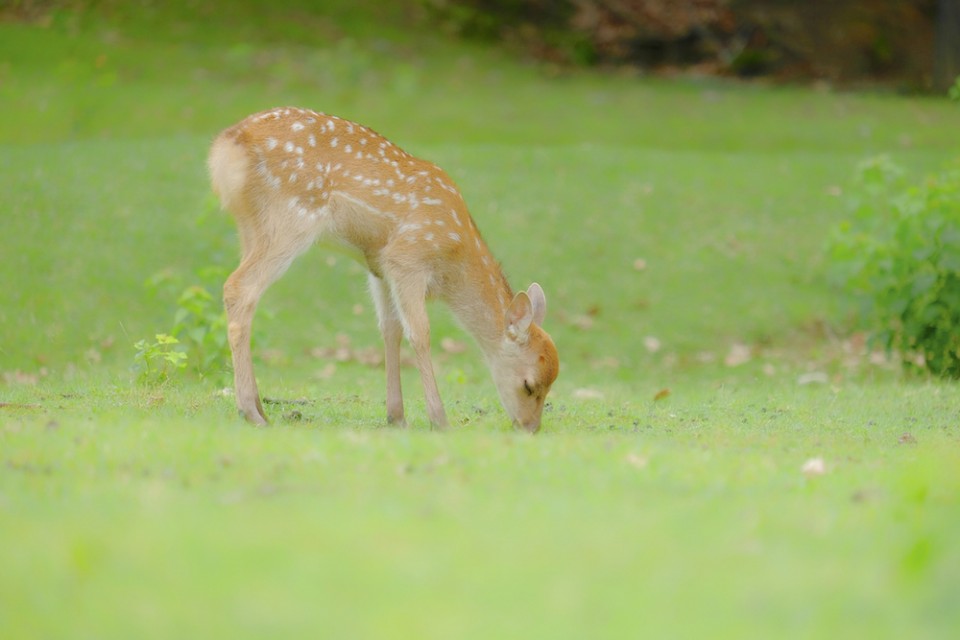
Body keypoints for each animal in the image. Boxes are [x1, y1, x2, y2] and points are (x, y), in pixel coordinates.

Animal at [206, 107, 560, 432]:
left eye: (551, 384)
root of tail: (225, 148)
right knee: (239, 288)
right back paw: (250, 411)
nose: (530, 428)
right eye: (530, 385)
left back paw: (257, 407)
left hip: (251, 228)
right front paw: (439, 419)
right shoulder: (407, 259)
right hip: (291, 217)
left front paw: (396, 416)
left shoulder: (379, 266)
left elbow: (390, 329)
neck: (453, 258)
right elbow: (420, 333)